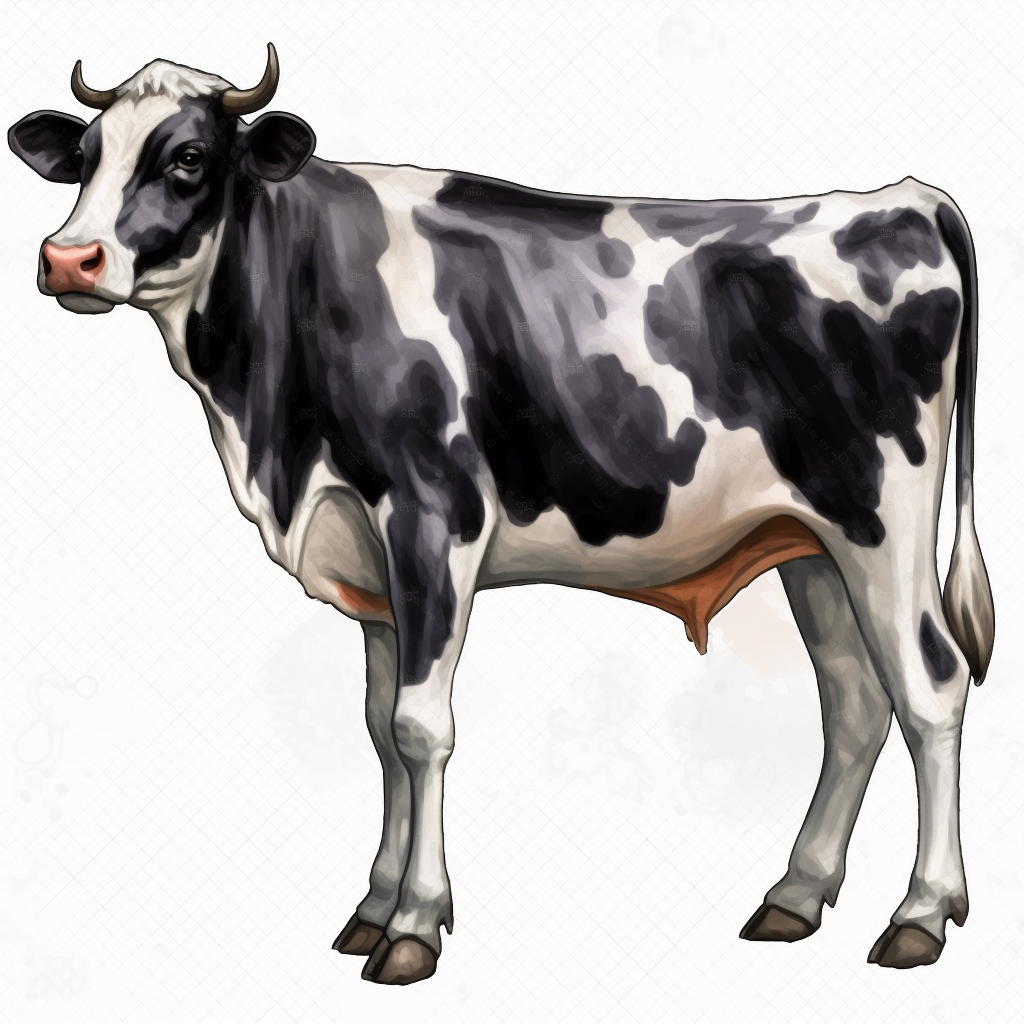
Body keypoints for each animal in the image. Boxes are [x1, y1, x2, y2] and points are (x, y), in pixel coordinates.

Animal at [8, 44, 995, 985]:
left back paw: (921, 914)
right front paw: (373, 907)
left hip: (884, 517)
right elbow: (380, 728)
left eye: (187, 157)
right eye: (85, 157)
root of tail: (903, 199)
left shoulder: (432, 517)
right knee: (856, 700)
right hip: (810, 543)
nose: (66, 258)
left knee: (932, 686)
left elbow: (419, 726)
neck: (271, 423)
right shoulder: (371, 560)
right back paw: (795, 894)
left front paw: (413, 926)